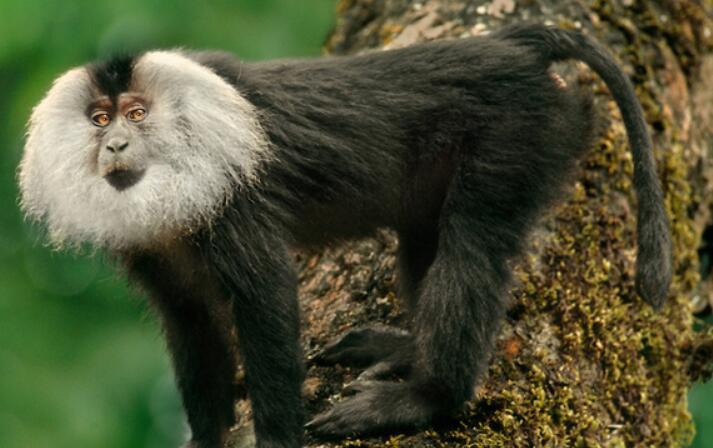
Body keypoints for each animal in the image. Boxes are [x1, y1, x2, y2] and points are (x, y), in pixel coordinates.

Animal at [18, 24, 671, 447]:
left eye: (136, 115)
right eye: (99, 120)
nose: (114, 146)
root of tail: (514, 48)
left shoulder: (232, 201)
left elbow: (266, 300)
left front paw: (276, 439)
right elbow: (190, 320)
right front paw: (208, 439)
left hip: (523, 129)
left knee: (473, 246)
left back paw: (429, 399)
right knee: (426, 238)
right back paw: (407, 352)